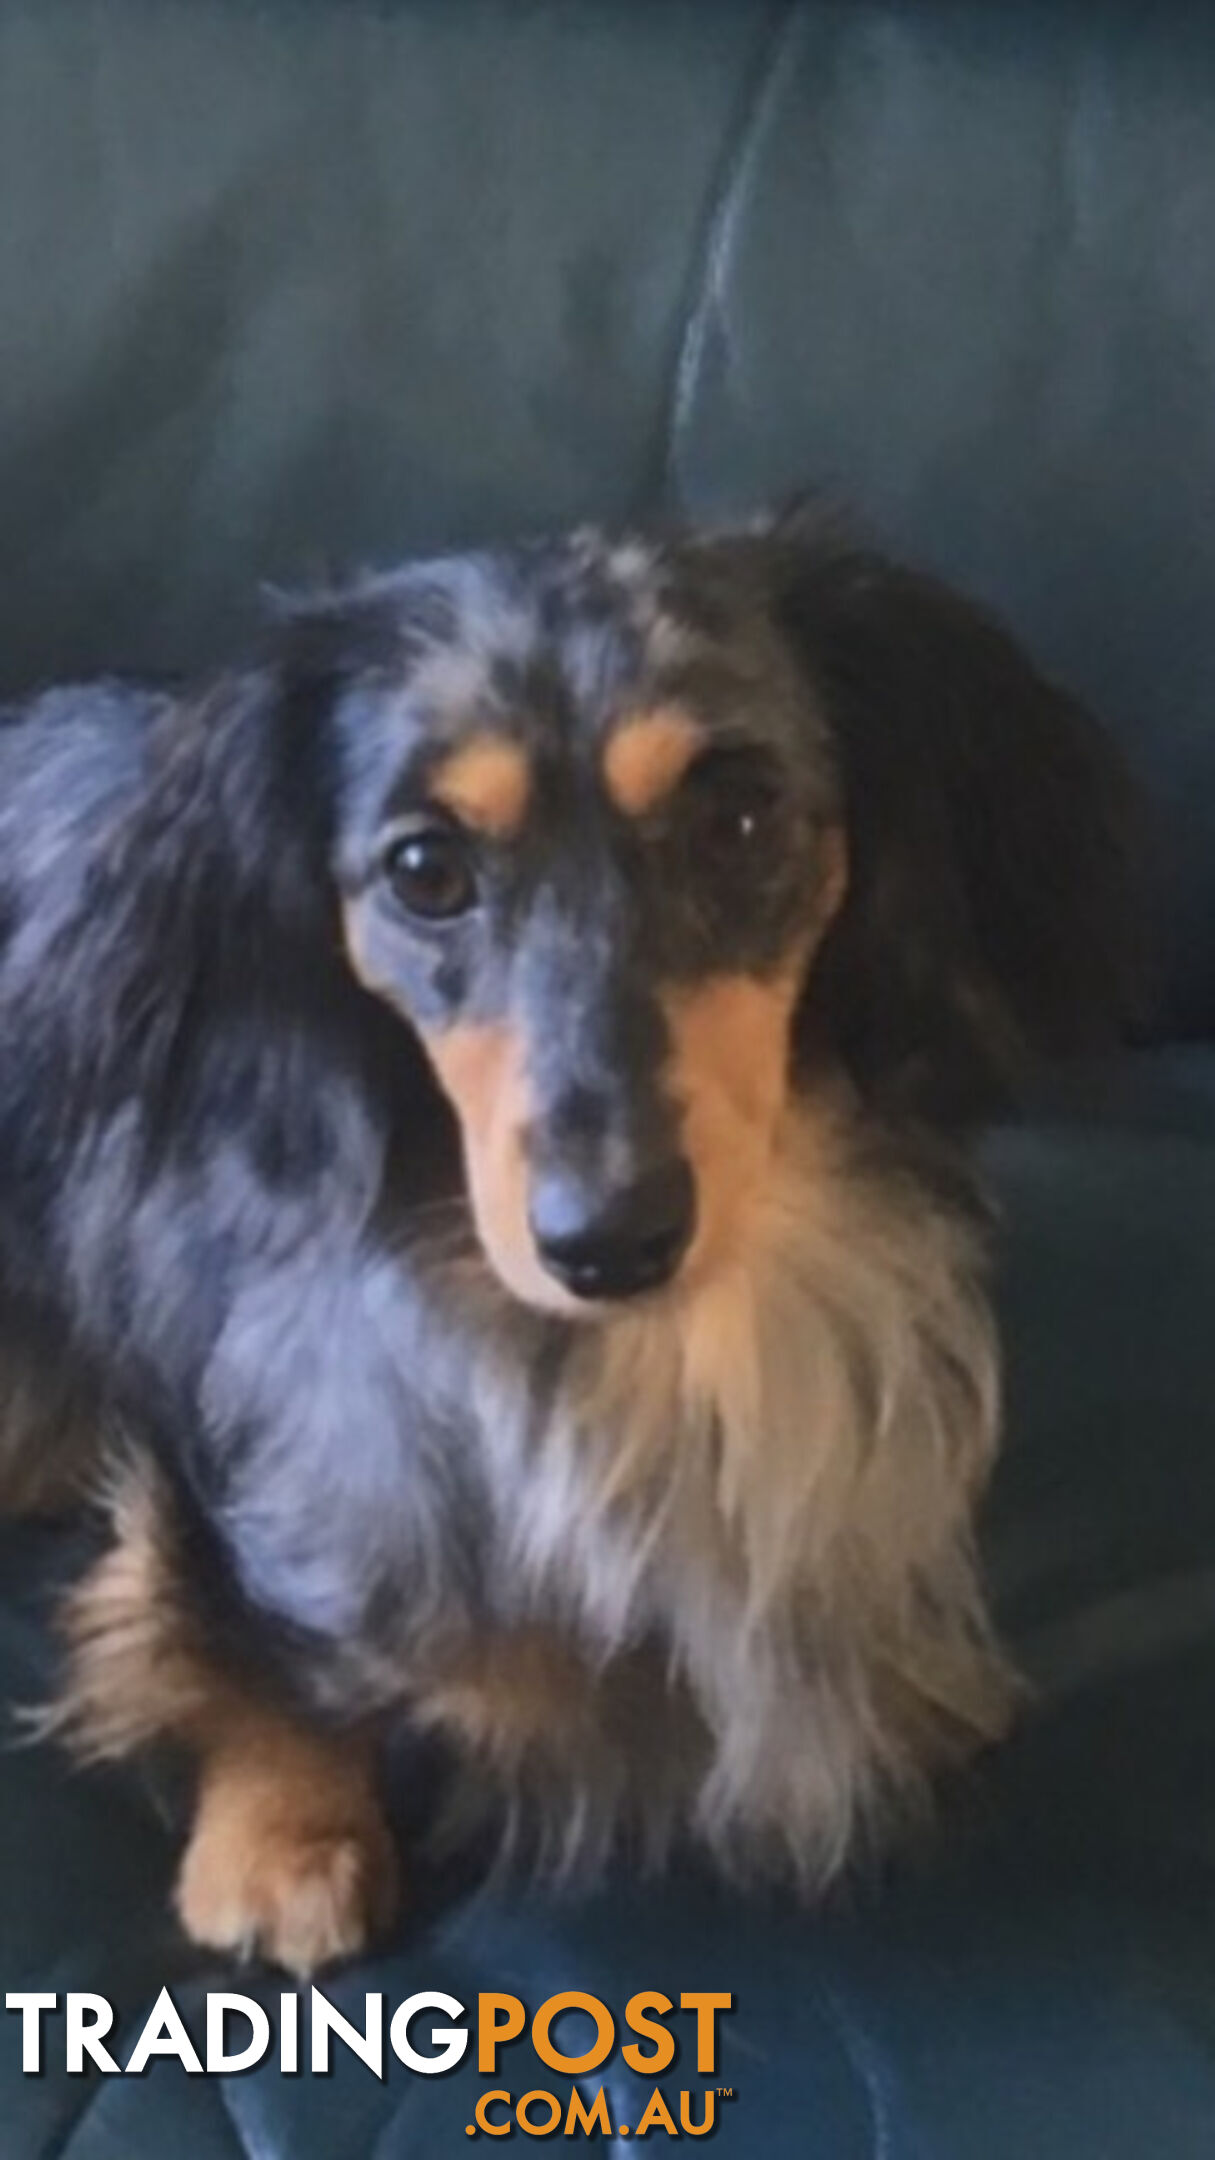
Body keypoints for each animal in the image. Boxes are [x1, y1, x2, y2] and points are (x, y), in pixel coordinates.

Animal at [0, 514, 1132, 1969]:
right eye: (424, 870)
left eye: (738, 819)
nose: (609, 1242)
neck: (656, 1352)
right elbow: (249, 1626)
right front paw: (286, 1831)